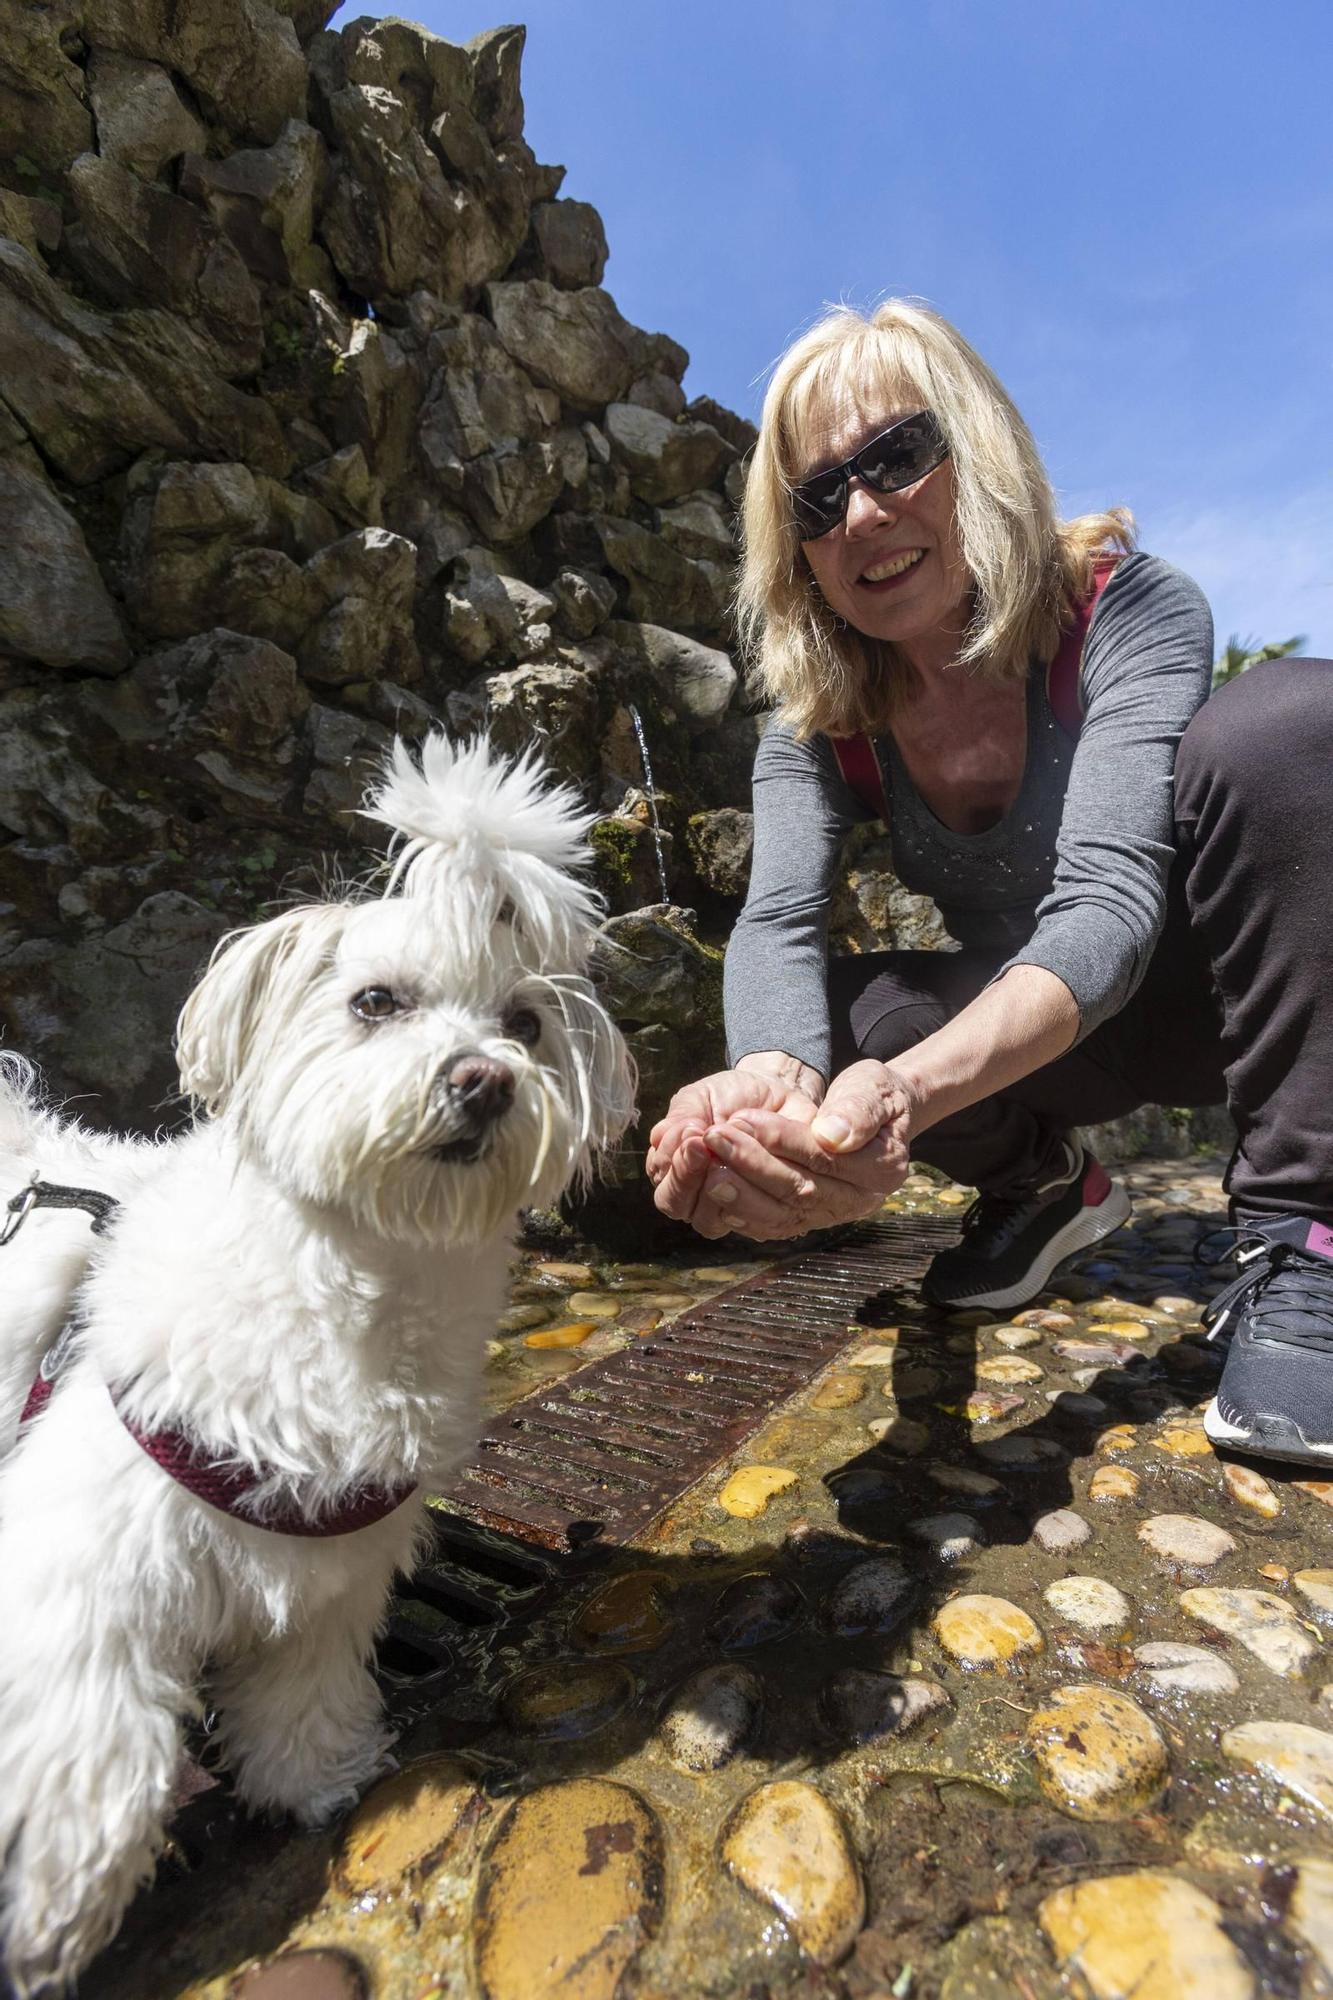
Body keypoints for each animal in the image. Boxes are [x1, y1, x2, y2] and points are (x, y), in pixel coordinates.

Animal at [0, 732, 636, 1984]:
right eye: (374, 1000)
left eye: (525, 1022)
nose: (483, 1078)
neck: (361, 1291)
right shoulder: (75, 1567)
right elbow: (91, 1746)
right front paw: (54, 1901)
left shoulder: (333, 1561)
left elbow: (302, 1685)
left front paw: (311, 1777)